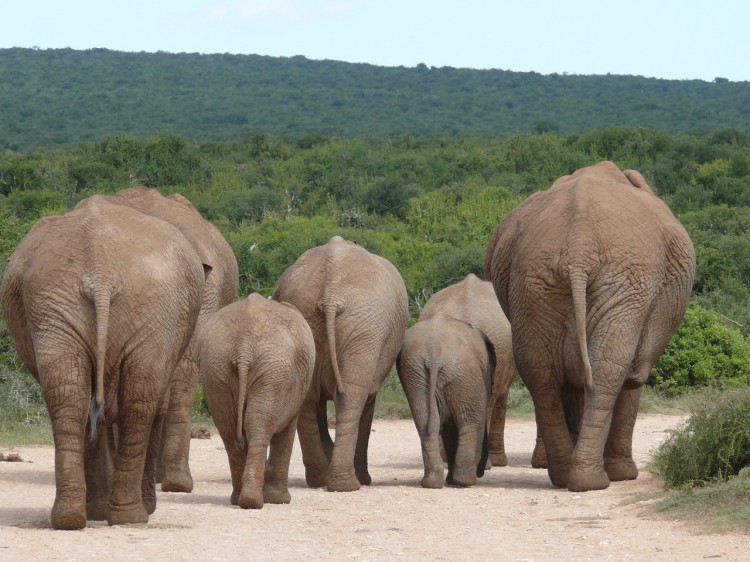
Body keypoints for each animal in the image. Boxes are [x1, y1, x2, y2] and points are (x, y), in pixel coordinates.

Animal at [0, 196, 206, 529]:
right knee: (139, 401)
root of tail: (100, 271)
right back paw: (131, 516)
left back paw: (72, 518)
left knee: (70, 394)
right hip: (150, 305)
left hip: (54, 302)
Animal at [197, 293, 315, 509]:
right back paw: (253, 501)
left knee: (229, 430)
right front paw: (280, 501)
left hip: (216, 368)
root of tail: (243, 347)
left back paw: (241, 500)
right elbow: (287, 430)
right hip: (272, 370)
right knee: (257, 426)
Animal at [272, 236, 409, 492]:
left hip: (313, 318)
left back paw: (320, 480)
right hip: (365, 328)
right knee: (352, 397)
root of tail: (330, 294)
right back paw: (349, 484)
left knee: (310, 399)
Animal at [396, 313, 495, 488]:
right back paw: (465, 481)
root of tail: (434, 355)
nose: (482, 472)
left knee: (424, 421)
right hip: (462, 371)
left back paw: (432, 483)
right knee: (470, 420)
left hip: (415, 371)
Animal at [484, 161, 695, 492]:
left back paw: (566, 477)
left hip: (533, 284)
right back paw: (596, 480)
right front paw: (624, 475)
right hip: (626, 282)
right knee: (610, 367)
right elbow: (634, 375)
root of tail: (578, 249)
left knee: (541, 371)